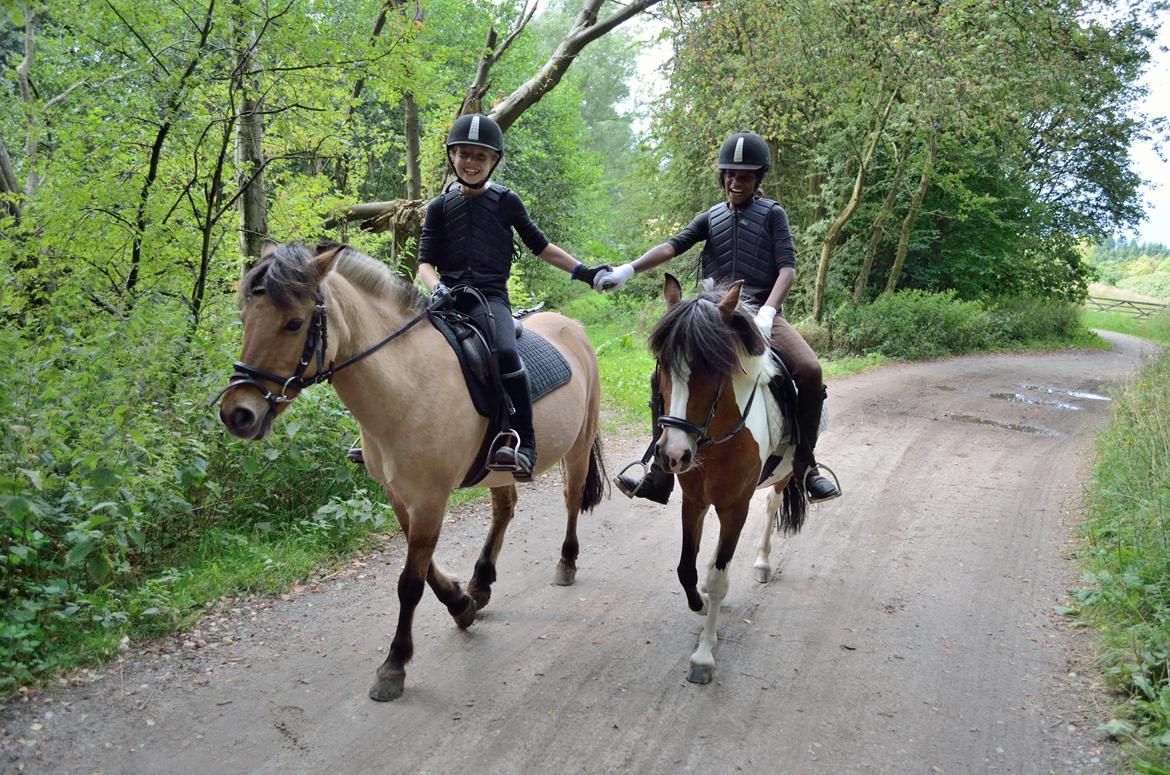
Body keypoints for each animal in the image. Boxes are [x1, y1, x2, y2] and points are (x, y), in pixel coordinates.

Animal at [214, 243, 608, 702]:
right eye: (245, 317)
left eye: (294, 323)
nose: (237, 413)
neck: (407, 383)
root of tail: (572, 327)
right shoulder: (400, 495)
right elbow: (425, 567)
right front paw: (461, 603)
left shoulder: (429, 497)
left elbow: (410, 583)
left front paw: (394, 664)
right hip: (497, 470)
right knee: (505, 509)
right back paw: (481, 582)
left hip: (579, 444)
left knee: (571, 496)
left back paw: (566, 562)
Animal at [650, 272, 804, 688]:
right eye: (662, 365)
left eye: (713, 368)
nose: (673, 455)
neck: (716, 439)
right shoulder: (695, 501)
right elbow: (686, 568)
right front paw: (701, 603)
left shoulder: (736, 507)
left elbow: (721, 579)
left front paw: (704, 655)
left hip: (784, 475)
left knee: (772, 506)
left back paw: (763, 563)